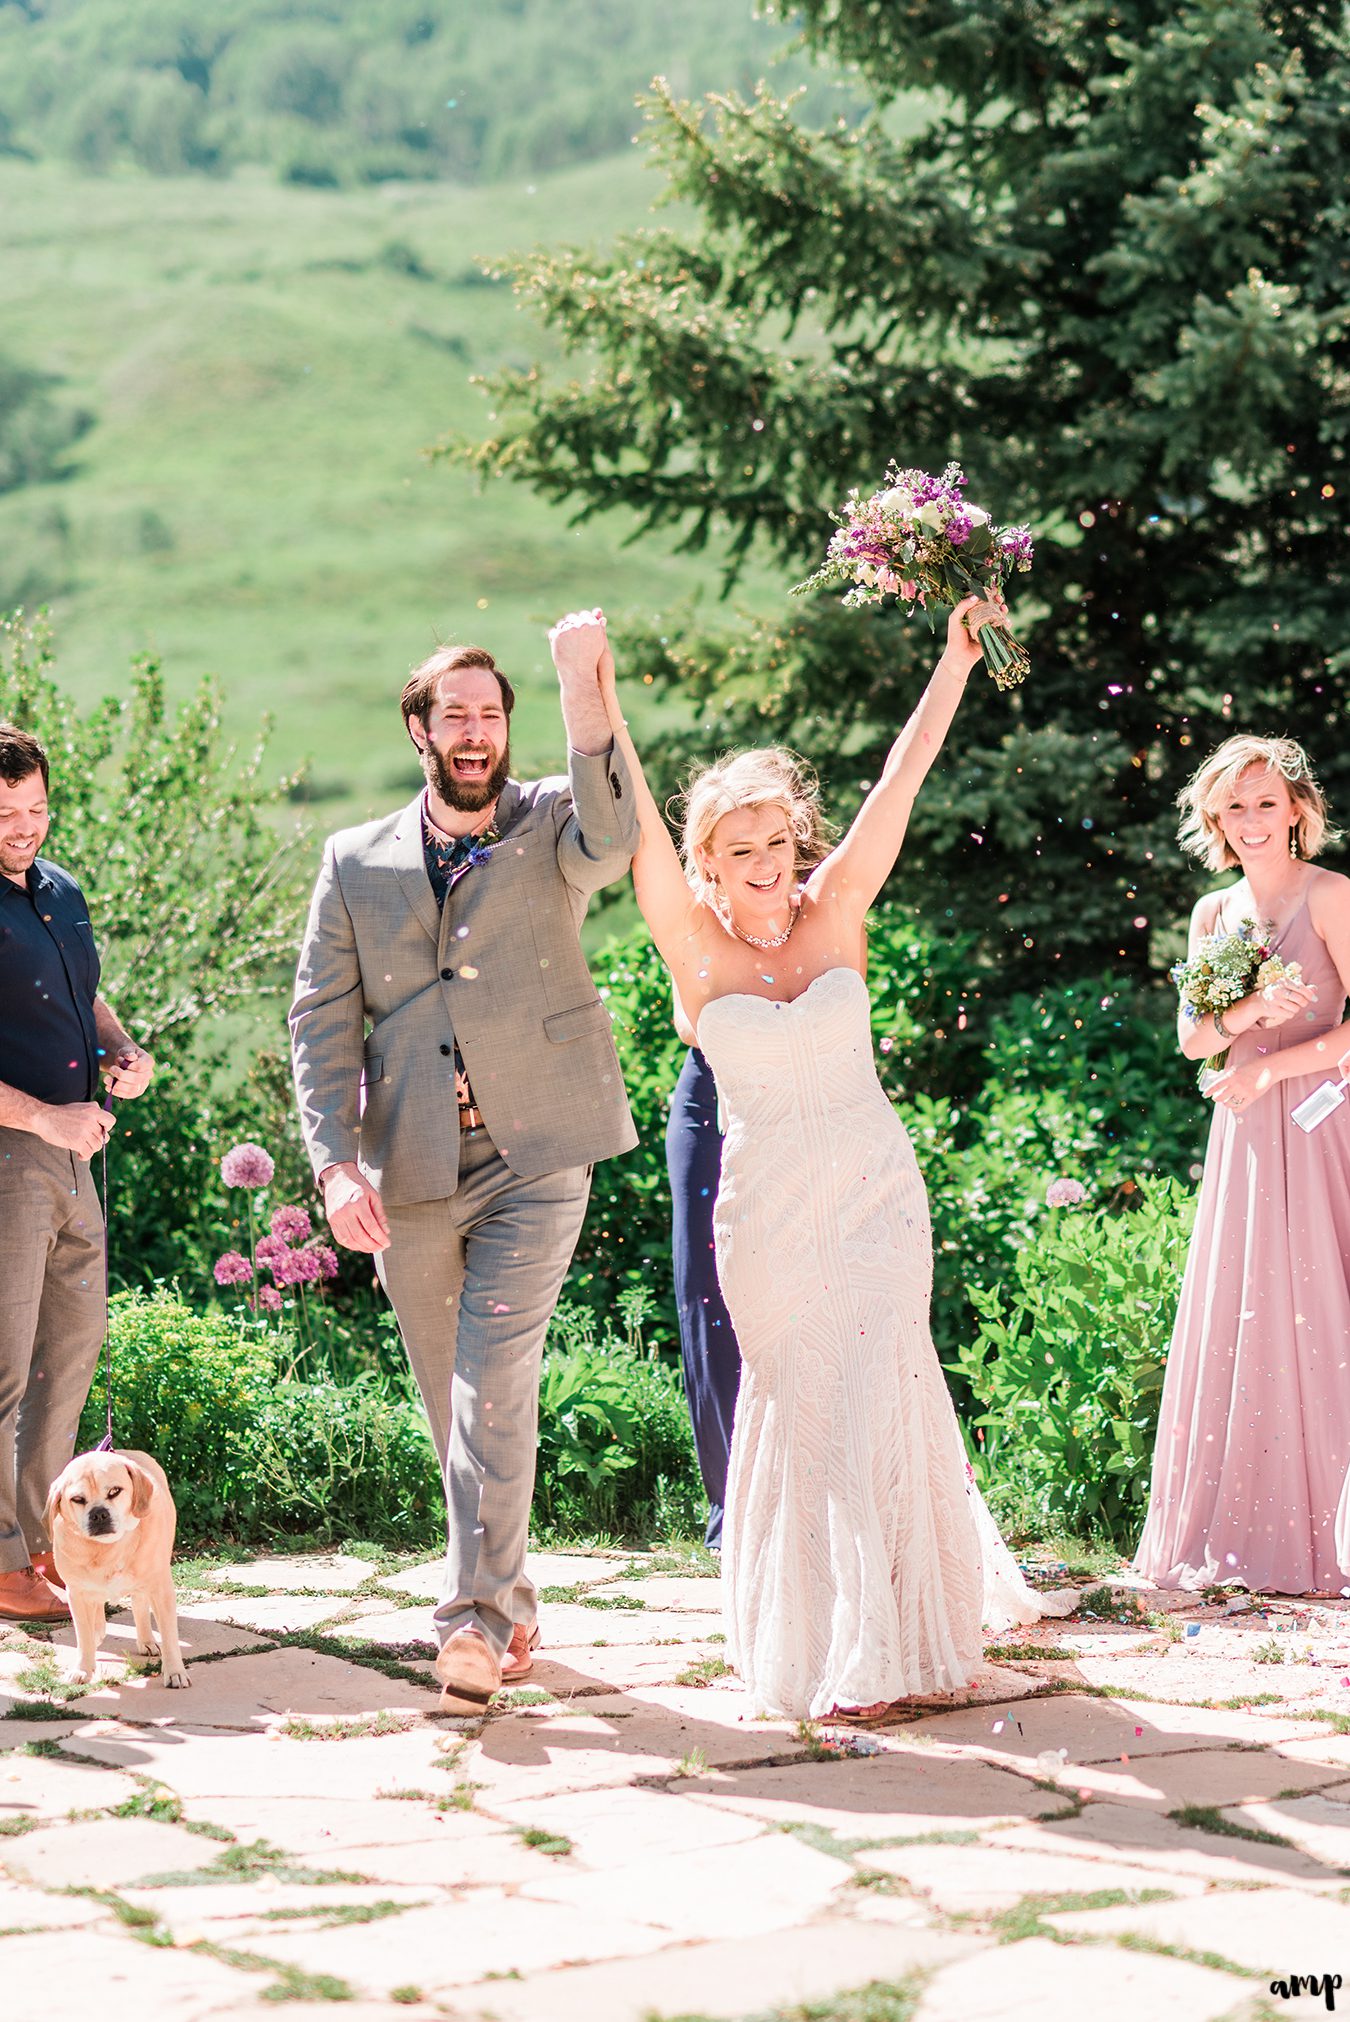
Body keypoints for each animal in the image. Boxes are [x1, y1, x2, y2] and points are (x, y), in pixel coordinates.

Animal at [43, 1455, 189, 1690]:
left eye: (114, 1491)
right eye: (77, 1499)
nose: (98, 1514)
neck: (108, 1550)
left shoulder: (161, 1589)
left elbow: (169, 1635)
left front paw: (175, 1671)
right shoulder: (77, 1593)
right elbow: (83, 1635)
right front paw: (82, 1669)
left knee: (139, 1605)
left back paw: (146, 1640)